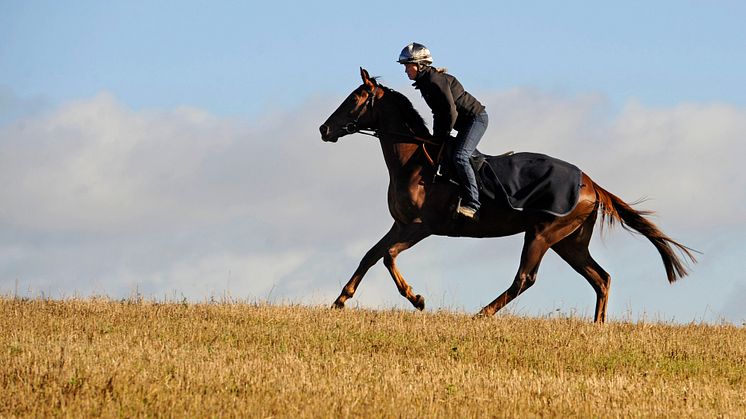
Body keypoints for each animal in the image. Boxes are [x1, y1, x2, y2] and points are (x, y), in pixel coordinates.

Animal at [316, 68, 696, 324]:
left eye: (353, 100)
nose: (323, 128)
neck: (414, 162)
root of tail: (591, 183)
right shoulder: (401, 224)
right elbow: (370, 255)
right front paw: (340, 300)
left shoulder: (422, 226)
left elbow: (388, 257)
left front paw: (417, 298)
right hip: (569, 241)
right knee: (600, 277)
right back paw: (598, 326)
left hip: (542, 233)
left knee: (525, 278)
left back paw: (482, 313)